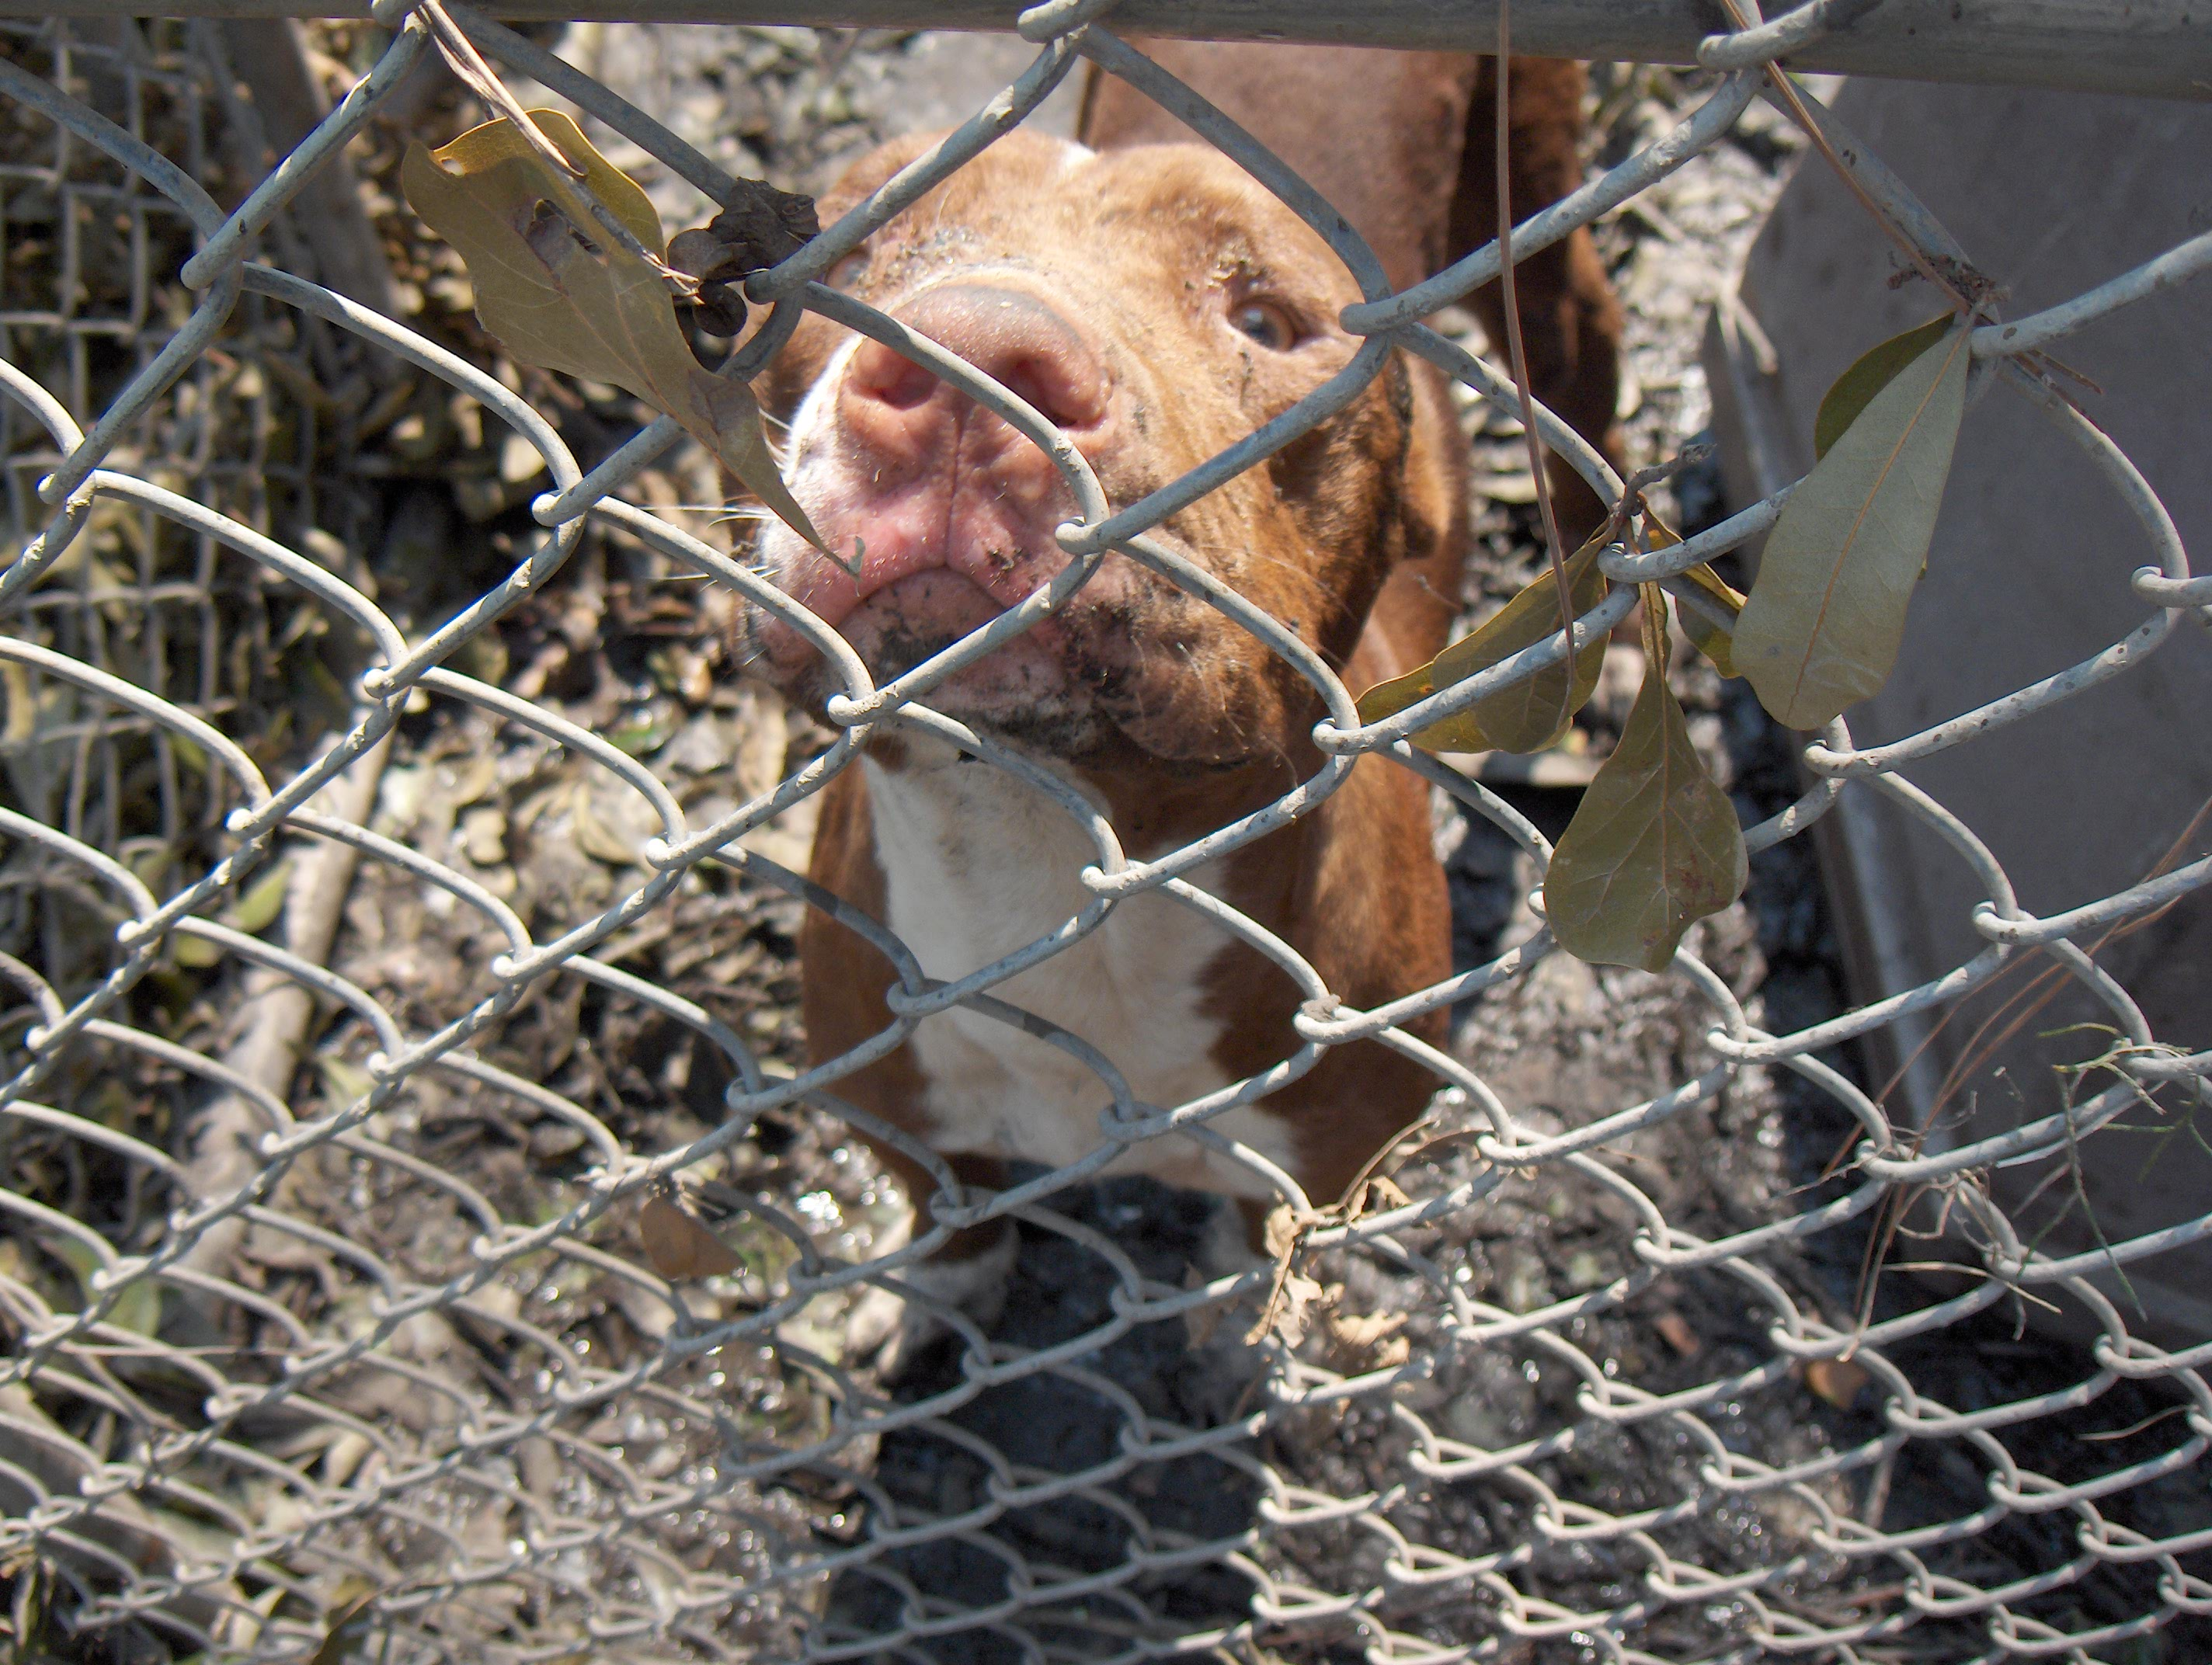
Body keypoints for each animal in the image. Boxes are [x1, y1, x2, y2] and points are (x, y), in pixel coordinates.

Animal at [743, 42, 1628, 1326]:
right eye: (852, 257)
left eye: (1264, 319)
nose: (972, 364)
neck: (1051, 858)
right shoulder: (892, 1098)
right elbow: (951, 1215)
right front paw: (942, 1303)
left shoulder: (1322, 1165)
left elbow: (1268, 1251)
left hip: (1538, 223)